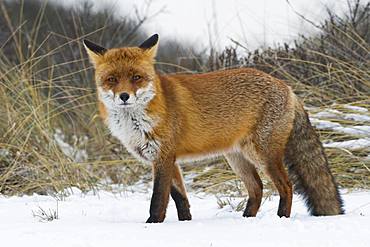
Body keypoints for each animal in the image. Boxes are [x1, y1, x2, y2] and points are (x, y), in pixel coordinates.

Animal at [84, 34, 344, 222]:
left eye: (136, 77)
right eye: (112, 79)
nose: (124, 97)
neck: (135, 123)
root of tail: (287, 87)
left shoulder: (163, 157)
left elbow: (158, 200)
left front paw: (152, 225)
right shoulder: (167, 159)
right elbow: (180, 199)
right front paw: (185, 223)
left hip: (263, 155)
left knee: (287, 187)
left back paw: (280, 219)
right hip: (237, 158)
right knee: (257, 189)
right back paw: (246, 219)